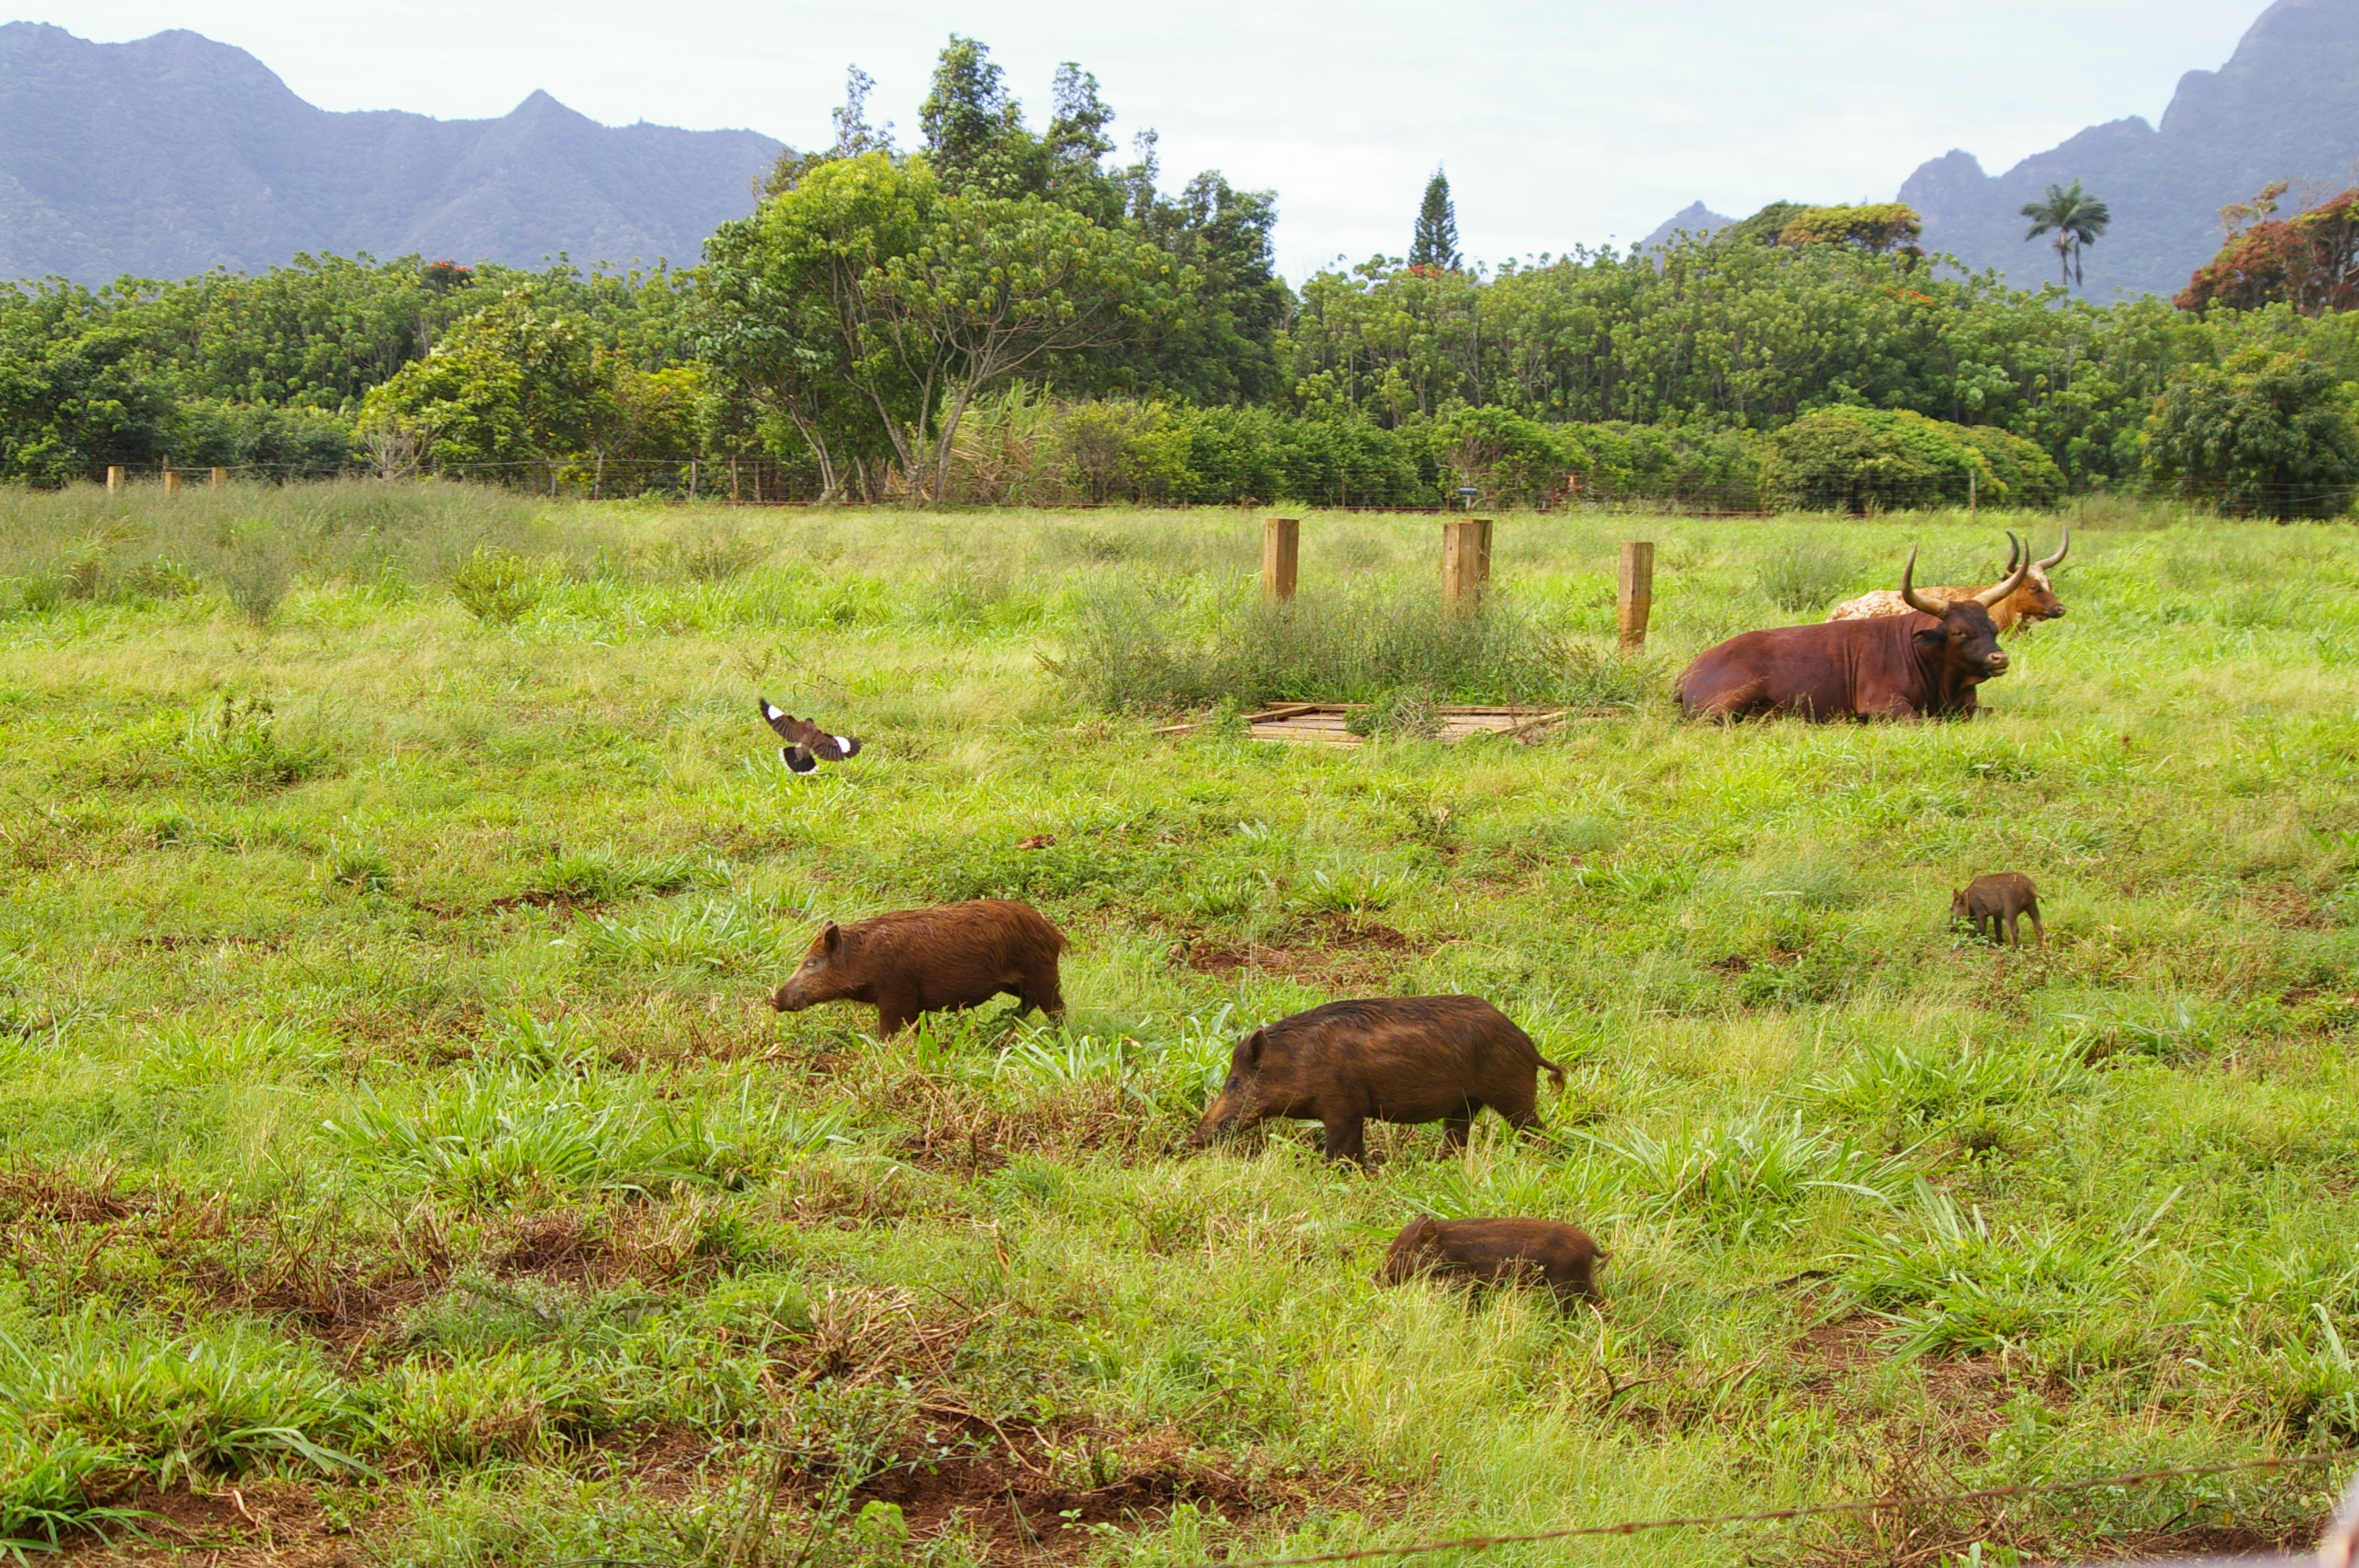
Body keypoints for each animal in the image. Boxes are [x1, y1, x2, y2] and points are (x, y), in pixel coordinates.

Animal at [769, 900, 1066, 1033]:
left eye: (811, 963)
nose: (774, 1000)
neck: (863, 961)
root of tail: (1052, 932)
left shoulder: (897, 996)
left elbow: (888, 1033)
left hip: (1042, 973)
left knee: (1057, 1008)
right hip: (1015, 983)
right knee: (1028, 1002)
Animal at [1180, 990, 1566, 1160]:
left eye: (1234, 1082)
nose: (1193, 1139)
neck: (1299, 1063)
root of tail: (1529, 1048)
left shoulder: (1343, 1108)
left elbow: (1341, 1151)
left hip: (1511, 1094)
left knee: (1537, 1132)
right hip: (1464, 1105)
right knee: (1457, 1137)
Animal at [1377, 1216, 1613, 1301]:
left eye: (1401, 1253)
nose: (1374, 1279)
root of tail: (1592, 1247)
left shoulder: (1466, 1281)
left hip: (1563, 1282)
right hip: (1580, 1281)